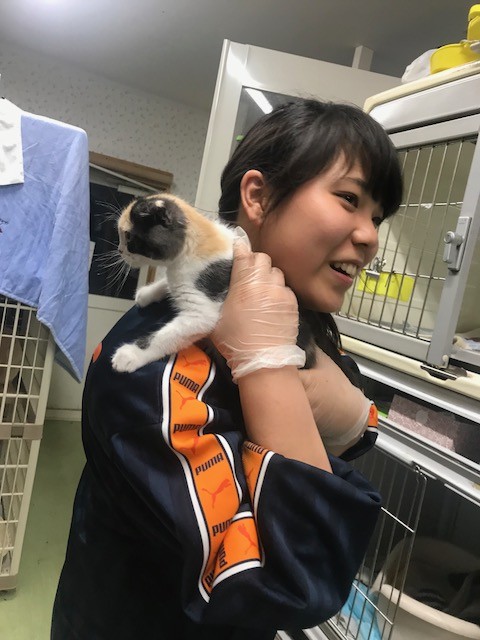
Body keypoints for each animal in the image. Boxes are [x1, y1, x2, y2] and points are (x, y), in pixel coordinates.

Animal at [111, 193, 315, 373]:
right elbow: (169, 283)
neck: (197, 241)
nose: (120, 250)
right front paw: (147, 293)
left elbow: (164, 337)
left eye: (128, 237)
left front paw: (130, 355)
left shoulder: (201, 313)